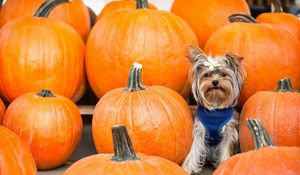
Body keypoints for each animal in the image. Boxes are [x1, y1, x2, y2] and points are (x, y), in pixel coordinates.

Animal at [182, 44, 245, 174]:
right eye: (206, 75)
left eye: (224, 74)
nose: (215, 82)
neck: (216, 104)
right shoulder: (200, 130)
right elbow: (194, 149)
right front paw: (188, 168)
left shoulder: (229, 131)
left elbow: (226, 148)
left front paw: (224, 165)